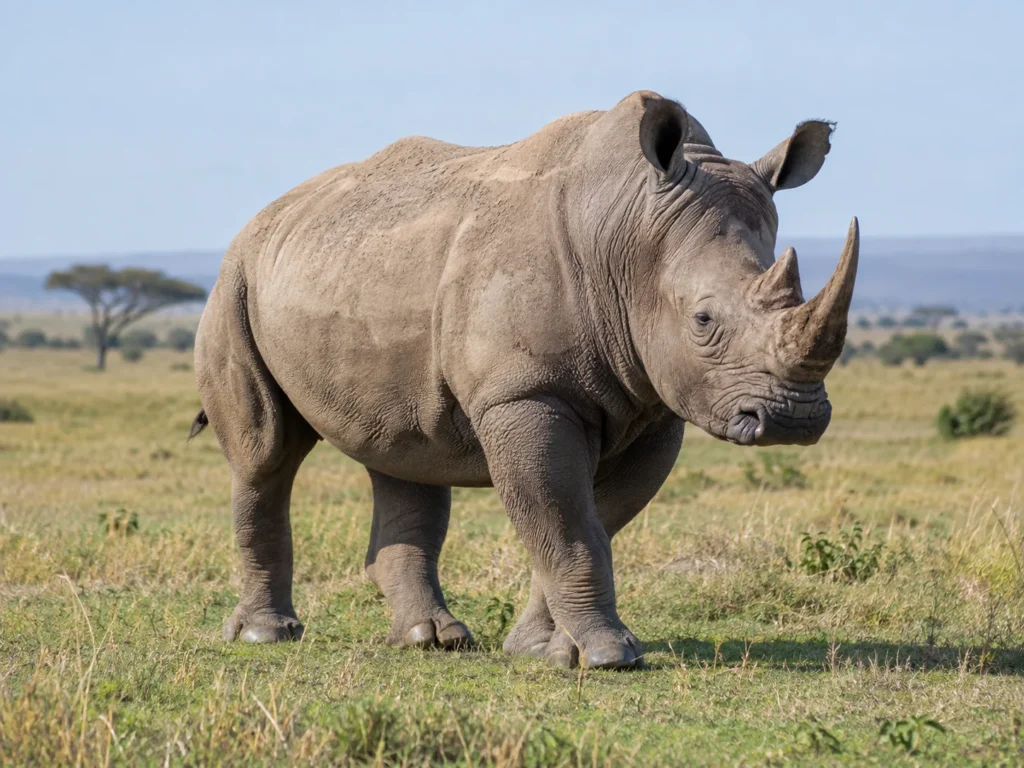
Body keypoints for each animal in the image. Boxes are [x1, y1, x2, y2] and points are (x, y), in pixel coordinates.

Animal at [191, 90, 858, 669]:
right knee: (266, 452)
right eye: (703, 319)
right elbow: (566, 522)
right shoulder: (524, 392)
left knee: (402, 450)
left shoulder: (656, 405)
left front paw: (546, 649)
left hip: (354, 270)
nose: (794, 419)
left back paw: (431, 640)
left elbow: (590, 521)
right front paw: (610, 655)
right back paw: (265, 635)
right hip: (236, 281)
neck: (630, 232)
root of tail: (266, 216)